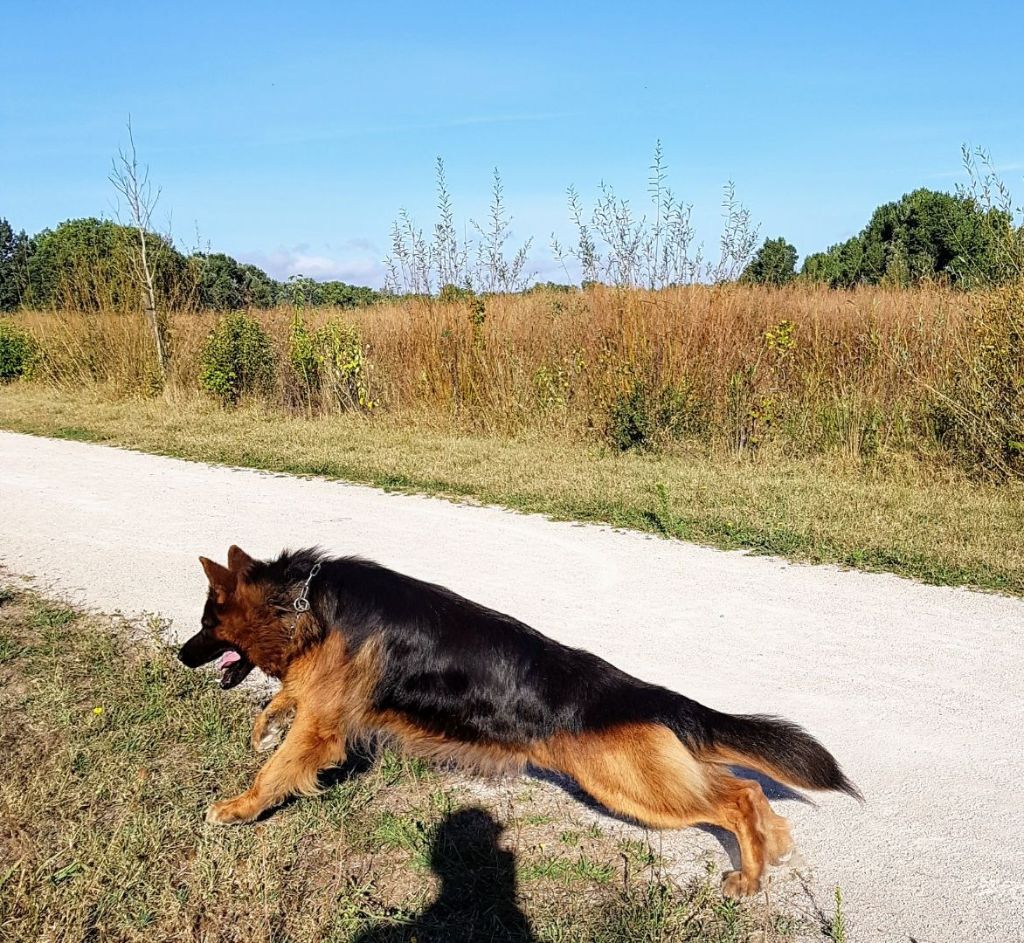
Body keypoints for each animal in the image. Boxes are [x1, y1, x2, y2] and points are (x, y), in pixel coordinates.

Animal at [176, 544, 856, 896]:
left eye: (208, 623)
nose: (182, 655)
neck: (301, 600)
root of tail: (642, 695)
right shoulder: (319, 699)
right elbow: (283, 708)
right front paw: (264, 722)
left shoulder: (324, 726)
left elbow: (277, 769)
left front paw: (238, 808)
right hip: (642, 781)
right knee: (746, 790)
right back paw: (772, 848)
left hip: (629, 786)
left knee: (736, 795)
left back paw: (750, 873)